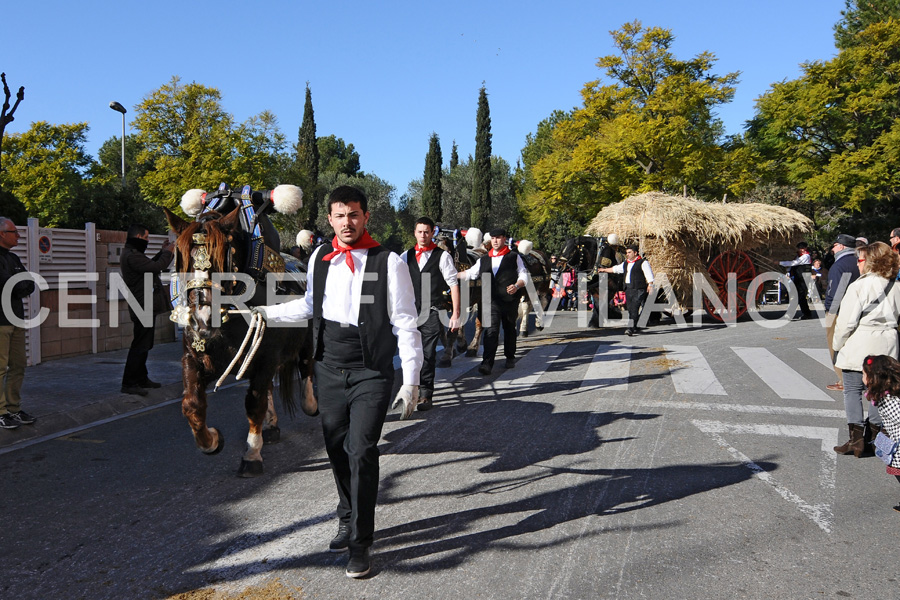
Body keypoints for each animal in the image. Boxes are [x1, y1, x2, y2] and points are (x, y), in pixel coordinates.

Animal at [164, 207, 316, 478]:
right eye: (182, 261)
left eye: (223, 258)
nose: (202, 319)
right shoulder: (194, 359)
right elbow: (192, 405)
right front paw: (212, 440)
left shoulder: (265, 359)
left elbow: (254, 404)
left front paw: (252, 455)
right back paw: (271, 426)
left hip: (304, 337)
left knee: (306, 363)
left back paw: (309, 403)